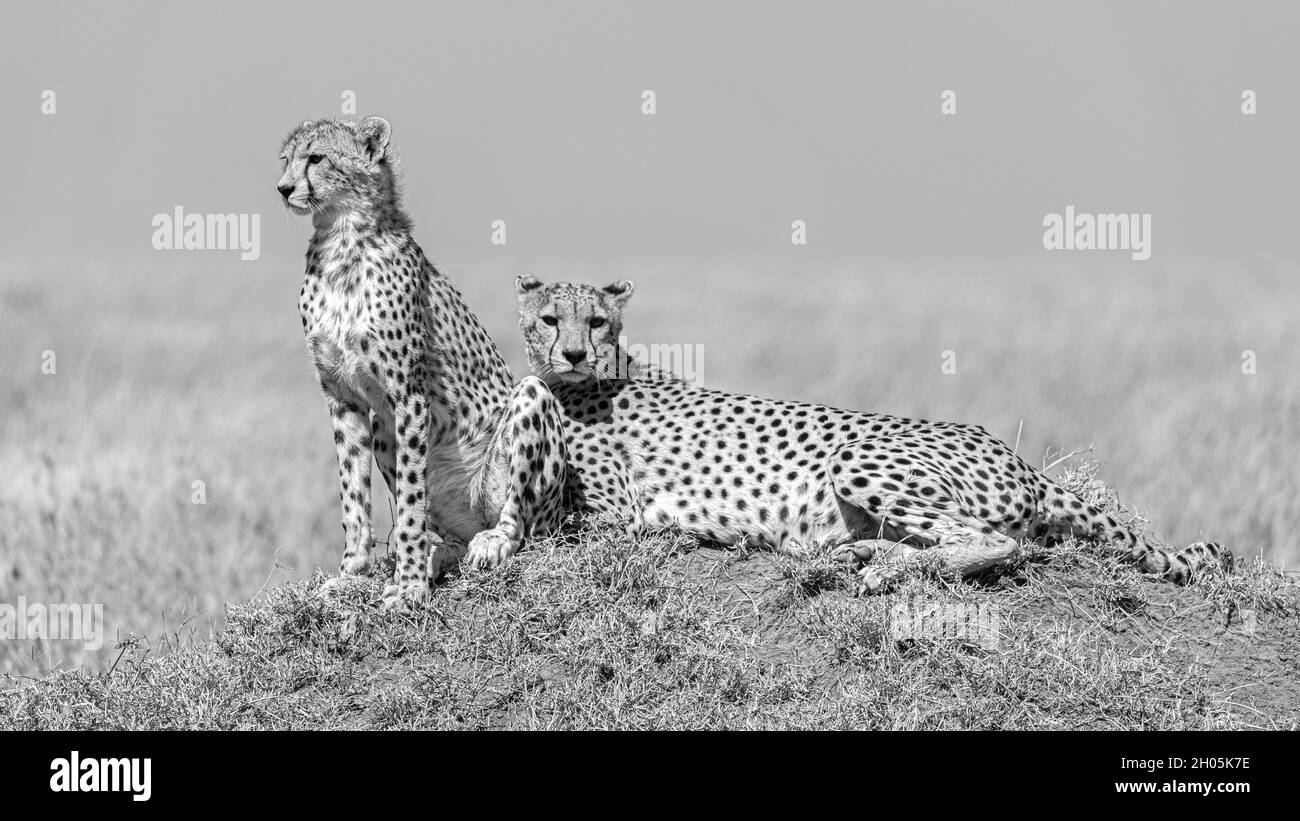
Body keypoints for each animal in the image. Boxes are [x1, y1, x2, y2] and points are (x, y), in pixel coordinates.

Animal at [277, 116, 567, 609]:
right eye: (286, 159)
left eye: (316, 158)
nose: (283, 187)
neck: (340, 240)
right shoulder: (344, 398)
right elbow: (352, 495)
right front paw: (352, 573)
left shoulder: (409, 396)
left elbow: (411, 500)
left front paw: (410, 585)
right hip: (383, 428)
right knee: (449, 534)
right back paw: (439, 551)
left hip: (529, 428)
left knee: (519, 519)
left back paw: (491, 541)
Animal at [515, 275, 1232, 593]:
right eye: (550, 318)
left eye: (597, 320)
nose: (574, 353)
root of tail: (1019, 458)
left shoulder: (614, 514)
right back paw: (866, 555)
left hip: (857, 456)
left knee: (997, 544)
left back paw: (883, 569)